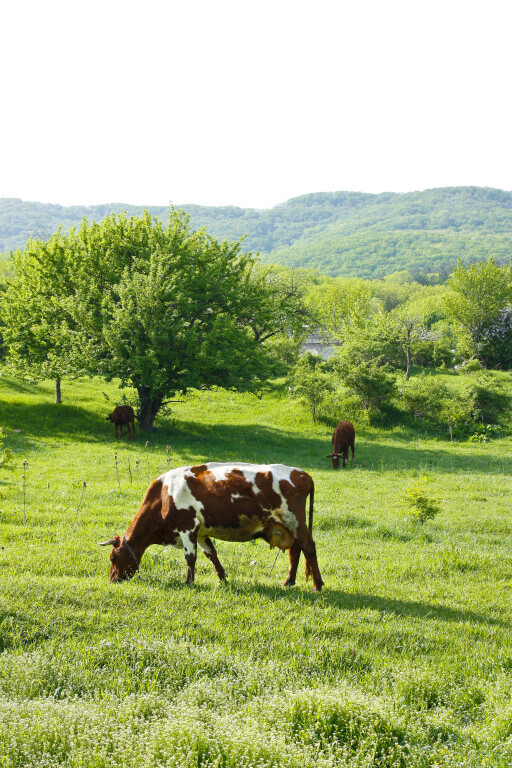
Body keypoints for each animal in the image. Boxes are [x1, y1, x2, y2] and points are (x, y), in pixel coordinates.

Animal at [99, 460, 322, 592]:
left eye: (113, 558)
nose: (112, 580)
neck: (163, 496)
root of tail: (301, 473)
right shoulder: (200, 533)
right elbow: (211, 554)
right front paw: (223, 579)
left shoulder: (187, 528)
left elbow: (190, 557)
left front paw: (188, 582)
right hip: (289, 525)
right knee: (296, 551)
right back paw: (289, 581)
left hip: (295, 521)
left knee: (309, 547)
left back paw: (318, 584)